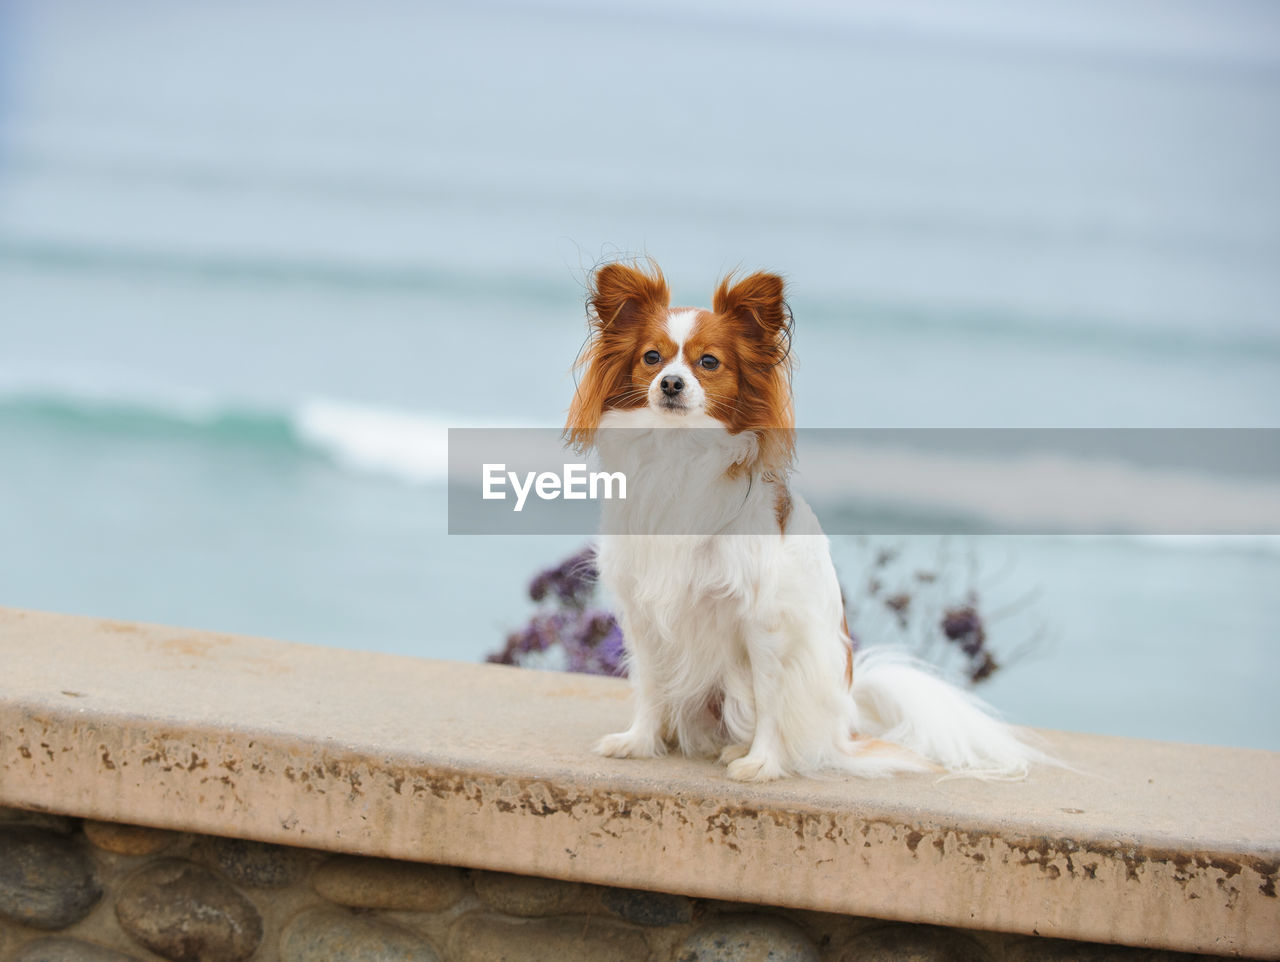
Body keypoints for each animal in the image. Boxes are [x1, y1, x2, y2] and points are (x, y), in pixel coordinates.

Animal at [565, 259, 1044, 777]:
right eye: (652, 358)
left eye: (708, 363)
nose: (671, 383)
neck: (680, 452)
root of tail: (848, 724)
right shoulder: (644, 612)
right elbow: (651, 685)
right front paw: (639, 741)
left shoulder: (765, 620)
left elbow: (770, 699)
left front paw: (761, 763)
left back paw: (742, 751)